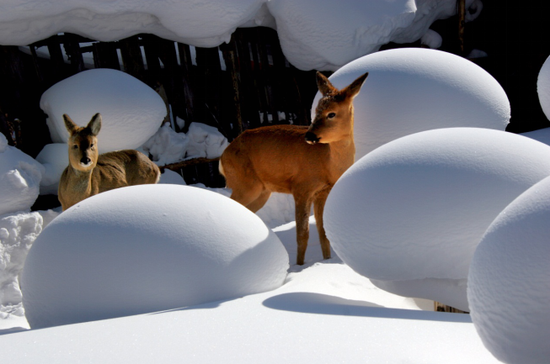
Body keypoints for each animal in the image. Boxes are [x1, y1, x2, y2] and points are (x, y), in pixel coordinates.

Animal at [220, 71, 370, 264]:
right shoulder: (301, 187)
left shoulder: (323, 192)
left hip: (262, 191)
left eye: (331, 114)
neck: (329, 165)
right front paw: (300, 265)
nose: (309, 135)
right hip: (244, 184)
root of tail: (223, 157)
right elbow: (302, 234)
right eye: (316, 110)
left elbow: (323, 234)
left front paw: (326, 260)